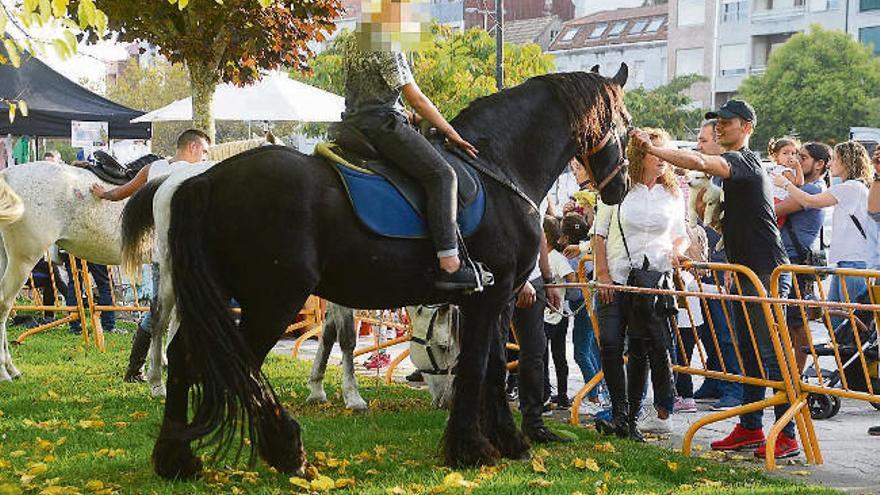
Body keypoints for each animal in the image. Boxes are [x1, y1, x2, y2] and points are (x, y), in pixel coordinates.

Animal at [124, 63, 628, 480]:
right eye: (624, 124)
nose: (620, 185)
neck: (498, 167)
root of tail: (204, 180)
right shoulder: (493, 295)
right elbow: (480, 367)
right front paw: (474, 449)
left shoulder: (493, 300)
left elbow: (489, 366)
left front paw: (503, 442)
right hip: (272, 300)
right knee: (232, 365)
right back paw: (285, 450)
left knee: (185, 355)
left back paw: (176, 458)